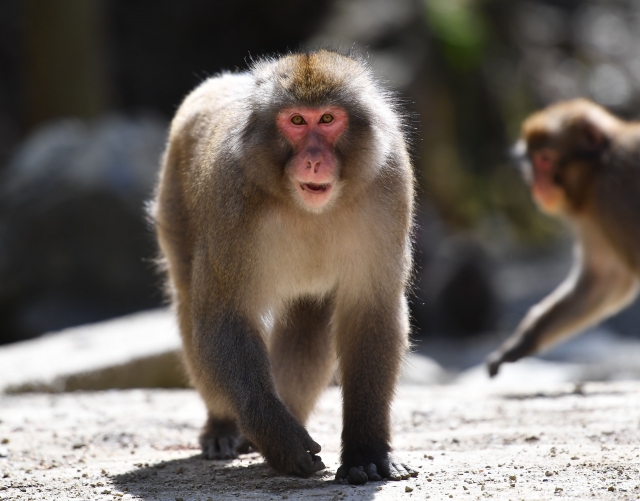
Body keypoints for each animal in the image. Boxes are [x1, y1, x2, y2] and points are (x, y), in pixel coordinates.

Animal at [152, 49, 418, 480]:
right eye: (295, 121)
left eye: (326, 119)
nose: (313, 160)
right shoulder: (233, 197)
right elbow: (224, 317)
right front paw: (279, 440)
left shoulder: (389, 185)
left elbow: (371, 310)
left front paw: (367, 451)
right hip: (173, 202)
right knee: (191, 305)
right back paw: (227, 427)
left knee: (310, 319)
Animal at [488, 99, 636, 376]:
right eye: (533, 161)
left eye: (545, 160)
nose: (536, 183)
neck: (600, 166)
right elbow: (606, 280)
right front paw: (521, 342)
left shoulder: (613, 195)